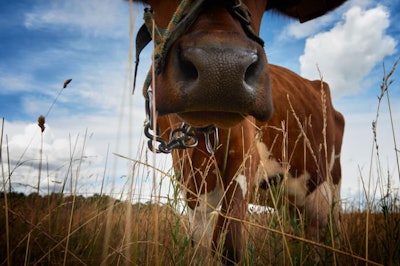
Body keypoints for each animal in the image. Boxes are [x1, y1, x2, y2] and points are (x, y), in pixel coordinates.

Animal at [133, 0, 346, 264]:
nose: (220, 69)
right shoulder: (191, 178)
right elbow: (200, 244)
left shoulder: (244, 162)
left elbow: (228, 244)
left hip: (330, 186)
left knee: (327, 233)